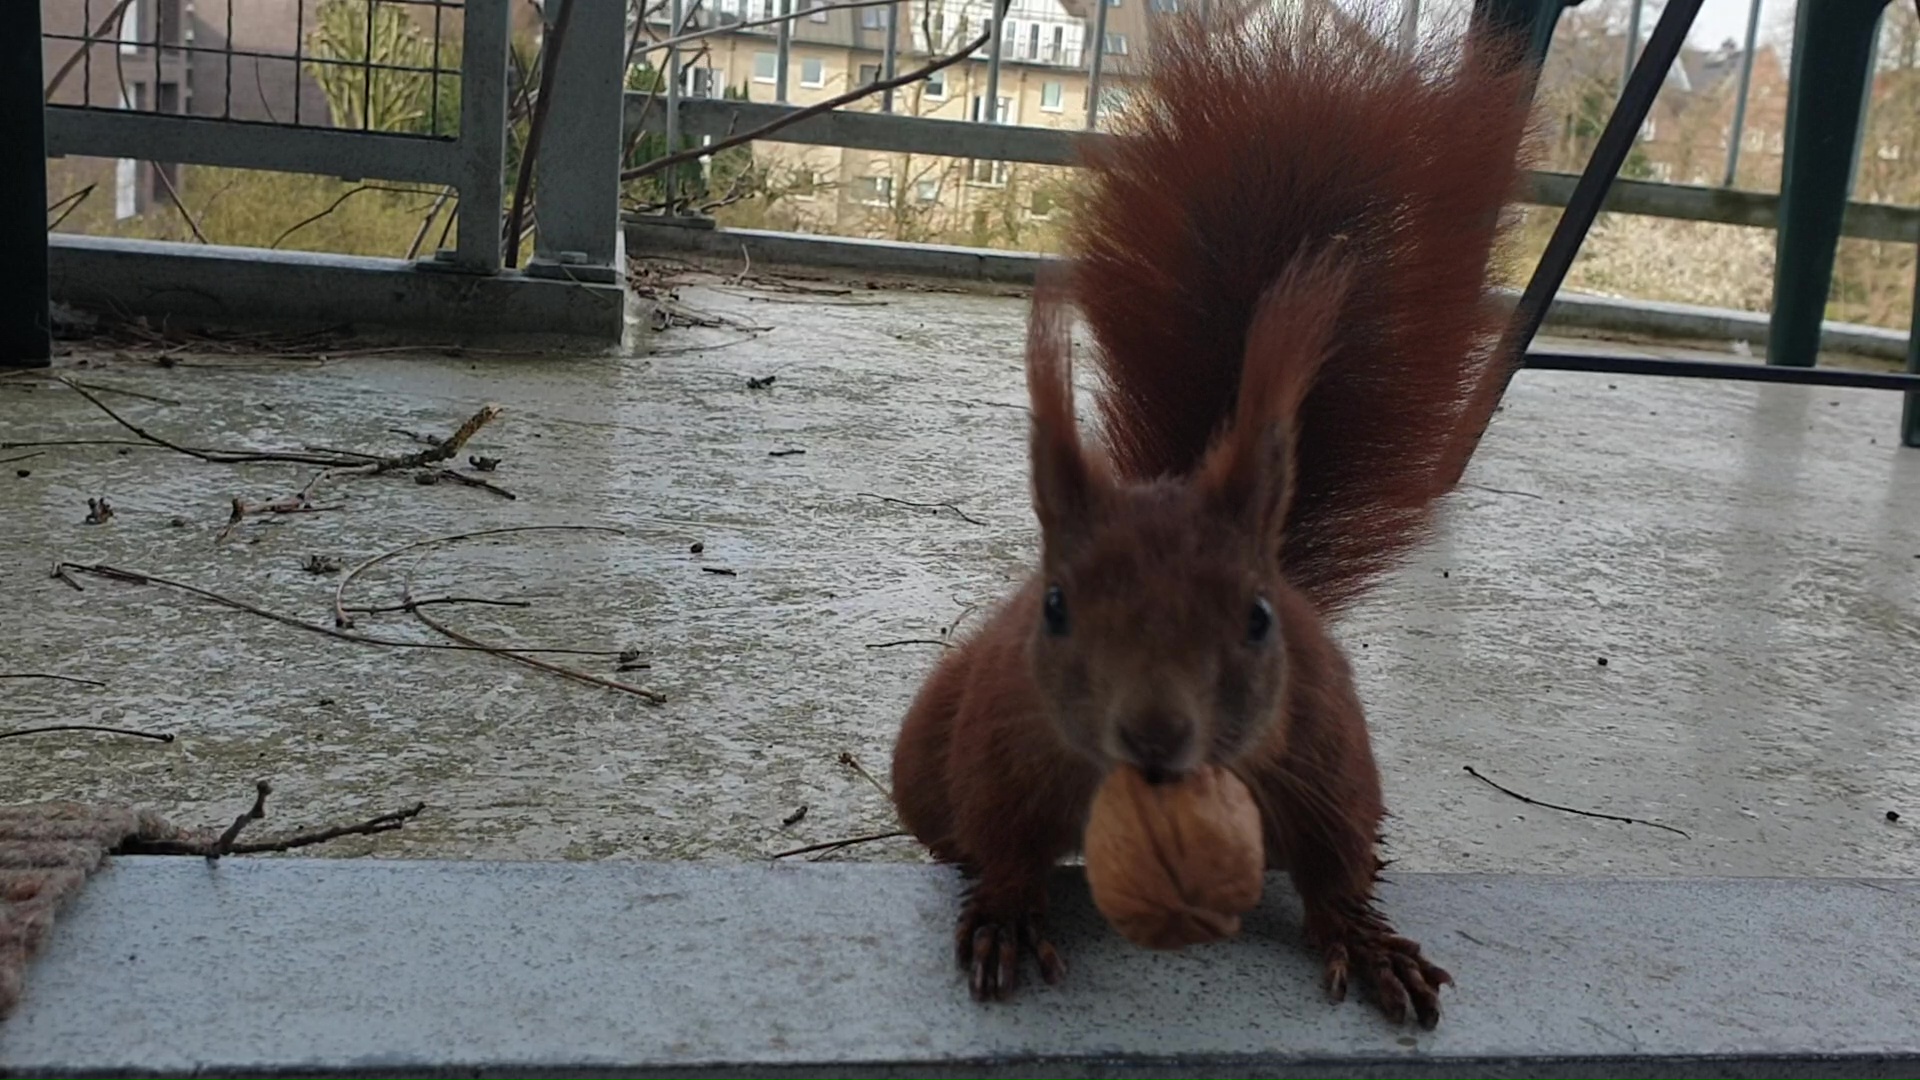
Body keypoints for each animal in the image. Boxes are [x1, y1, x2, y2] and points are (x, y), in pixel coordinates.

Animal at [890, 0, 1536, 1022]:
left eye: (1260, 617)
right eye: (1055, 607)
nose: (1157, 733)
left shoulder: (1321, 751)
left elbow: (1335, 859)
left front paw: (1368, 940)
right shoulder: (1001, 740)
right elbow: (1002, 838)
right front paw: (1005, 916)